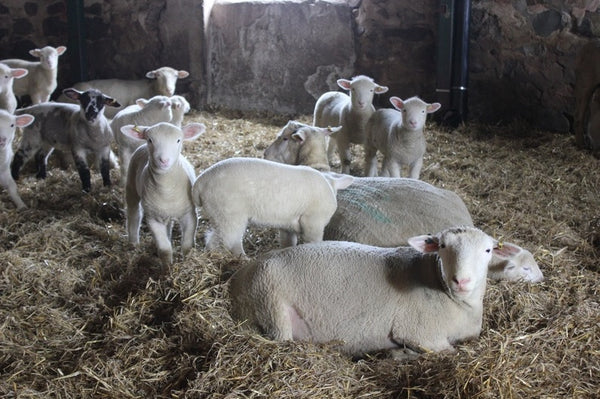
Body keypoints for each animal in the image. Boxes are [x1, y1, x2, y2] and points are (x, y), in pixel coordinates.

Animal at [122, 122, 206, 266]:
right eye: (150, 140)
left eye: (178, 140)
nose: (164, 160)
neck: (166, 191)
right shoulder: (153, 219)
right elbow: (164, 249)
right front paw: (167, 268)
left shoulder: (189, 215)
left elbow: (187, 244)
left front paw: (186, 260)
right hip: (131, 185)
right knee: (134, 214)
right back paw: (133, 243)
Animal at [190, 158, 354, 258]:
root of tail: (198, 185)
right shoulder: (313, 221)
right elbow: (313, 241)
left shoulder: (288, 225)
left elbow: (289, 243)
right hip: (228, 213)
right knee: (221, 241)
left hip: (220, 214)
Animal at [232, 225, 508, 360]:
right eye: (441, 246)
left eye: (487, 251)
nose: (461, 280)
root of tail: (236, 280)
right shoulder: (419, 333)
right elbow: (448, 351)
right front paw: (397, 354)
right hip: (270, 302)